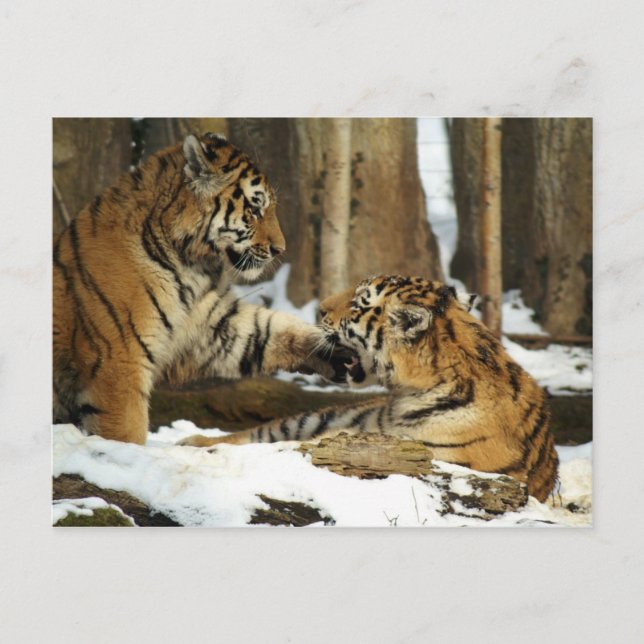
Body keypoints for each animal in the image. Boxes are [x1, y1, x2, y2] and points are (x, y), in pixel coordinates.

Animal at [53, 132, 348, 445]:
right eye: (255, 209)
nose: (280, 249)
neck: (191, 264)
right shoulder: (119, 362)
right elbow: (126, 431)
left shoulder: (211, 327)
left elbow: (269, 329)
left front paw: (332, 348)